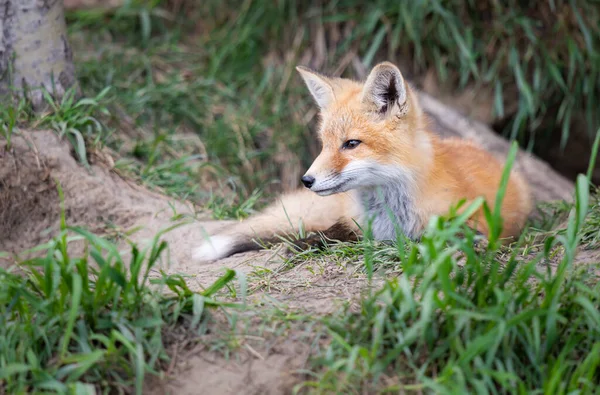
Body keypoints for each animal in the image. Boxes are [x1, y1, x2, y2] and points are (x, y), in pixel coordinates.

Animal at [191, 62, 528, 262]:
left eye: (351, 144)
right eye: (324, 144)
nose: (307, 180)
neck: (390, 215)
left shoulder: (474, 226)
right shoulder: (355, 223)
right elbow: (335, 232)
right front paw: (308, 242)